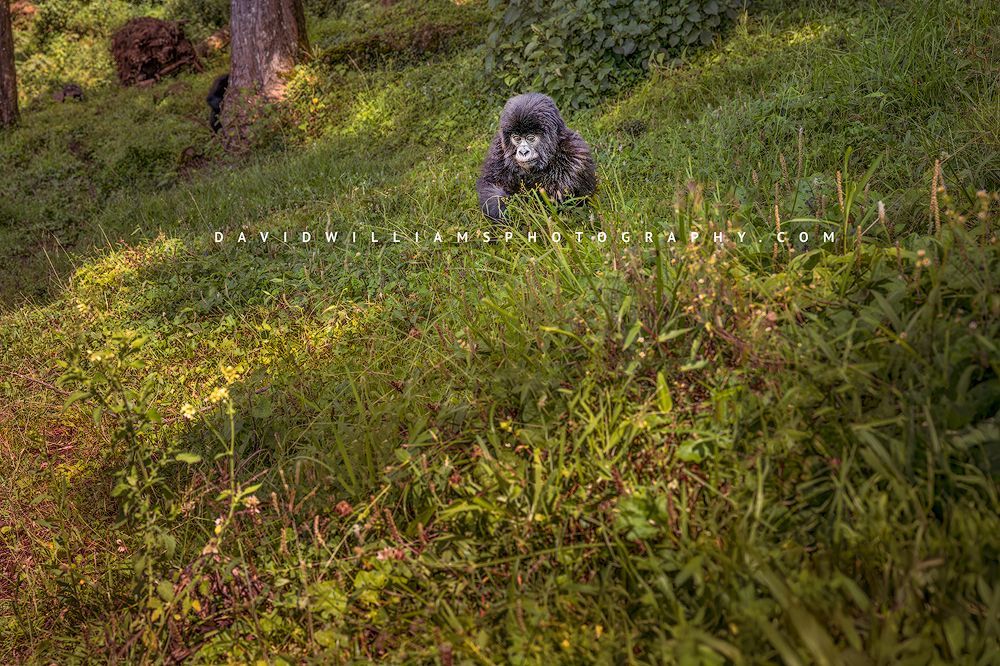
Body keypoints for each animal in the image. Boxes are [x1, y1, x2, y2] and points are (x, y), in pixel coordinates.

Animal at [476, 93, 596, 222]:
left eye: (531, 138)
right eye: (517, 138)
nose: (523, 152)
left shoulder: (575, 159)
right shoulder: (498, 151)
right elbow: (490, 185)